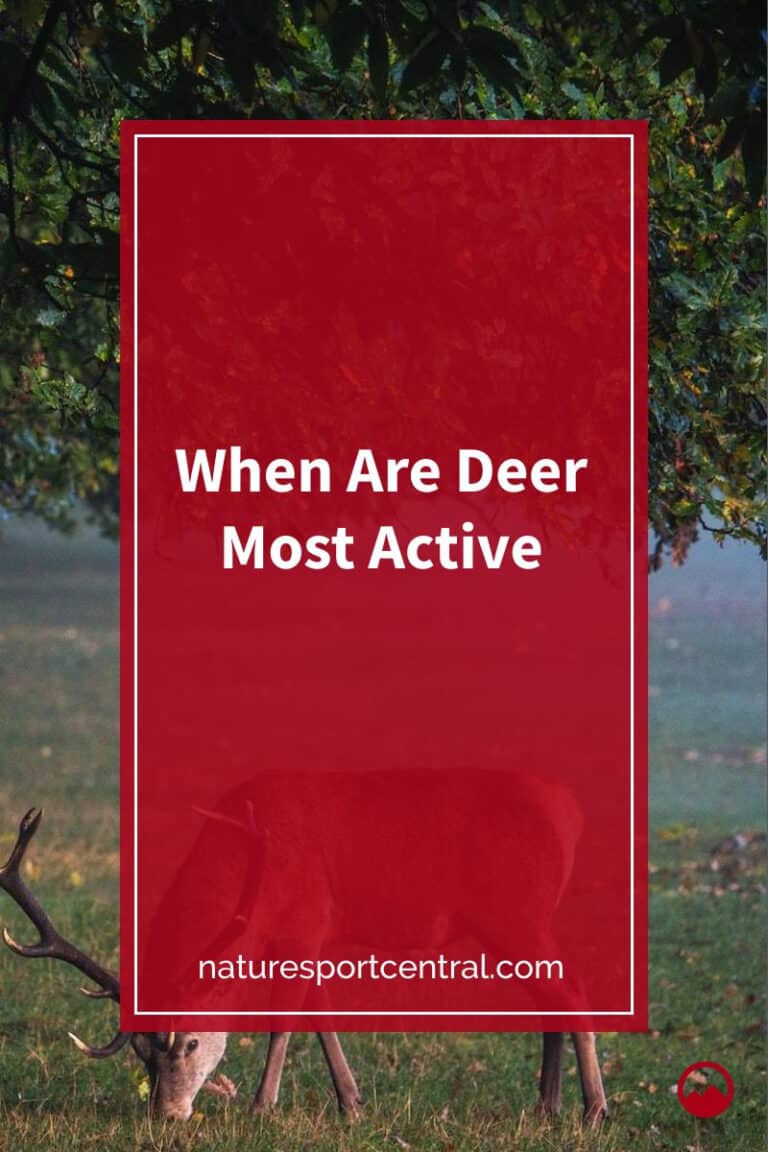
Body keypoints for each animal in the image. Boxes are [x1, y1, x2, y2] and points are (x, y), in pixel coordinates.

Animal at [0, 804, 607, 1123]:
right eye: (143, 1054)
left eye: (190, 1043)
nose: (166, 1114)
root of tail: (573, 816)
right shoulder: (304, 939)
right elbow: (321, 1015)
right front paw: (352, 1103)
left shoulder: (302, 925)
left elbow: (284, 1021)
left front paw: (261, 1108)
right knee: (550, 994)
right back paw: (547, 1105)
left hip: (515, 912)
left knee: (575, 986)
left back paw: (592, 1110)